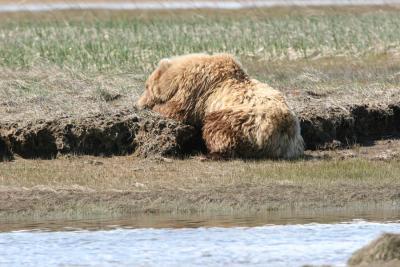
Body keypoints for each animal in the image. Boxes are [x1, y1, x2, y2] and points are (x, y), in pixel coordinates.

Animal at [138, 54, 304, 159]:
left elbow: (177, 110)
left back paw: (209, 153)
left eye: (146, 86)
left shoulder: (196, 90)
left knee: (217, 128)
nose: (138, 104)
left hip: (243, 119)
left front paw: (157, 108)